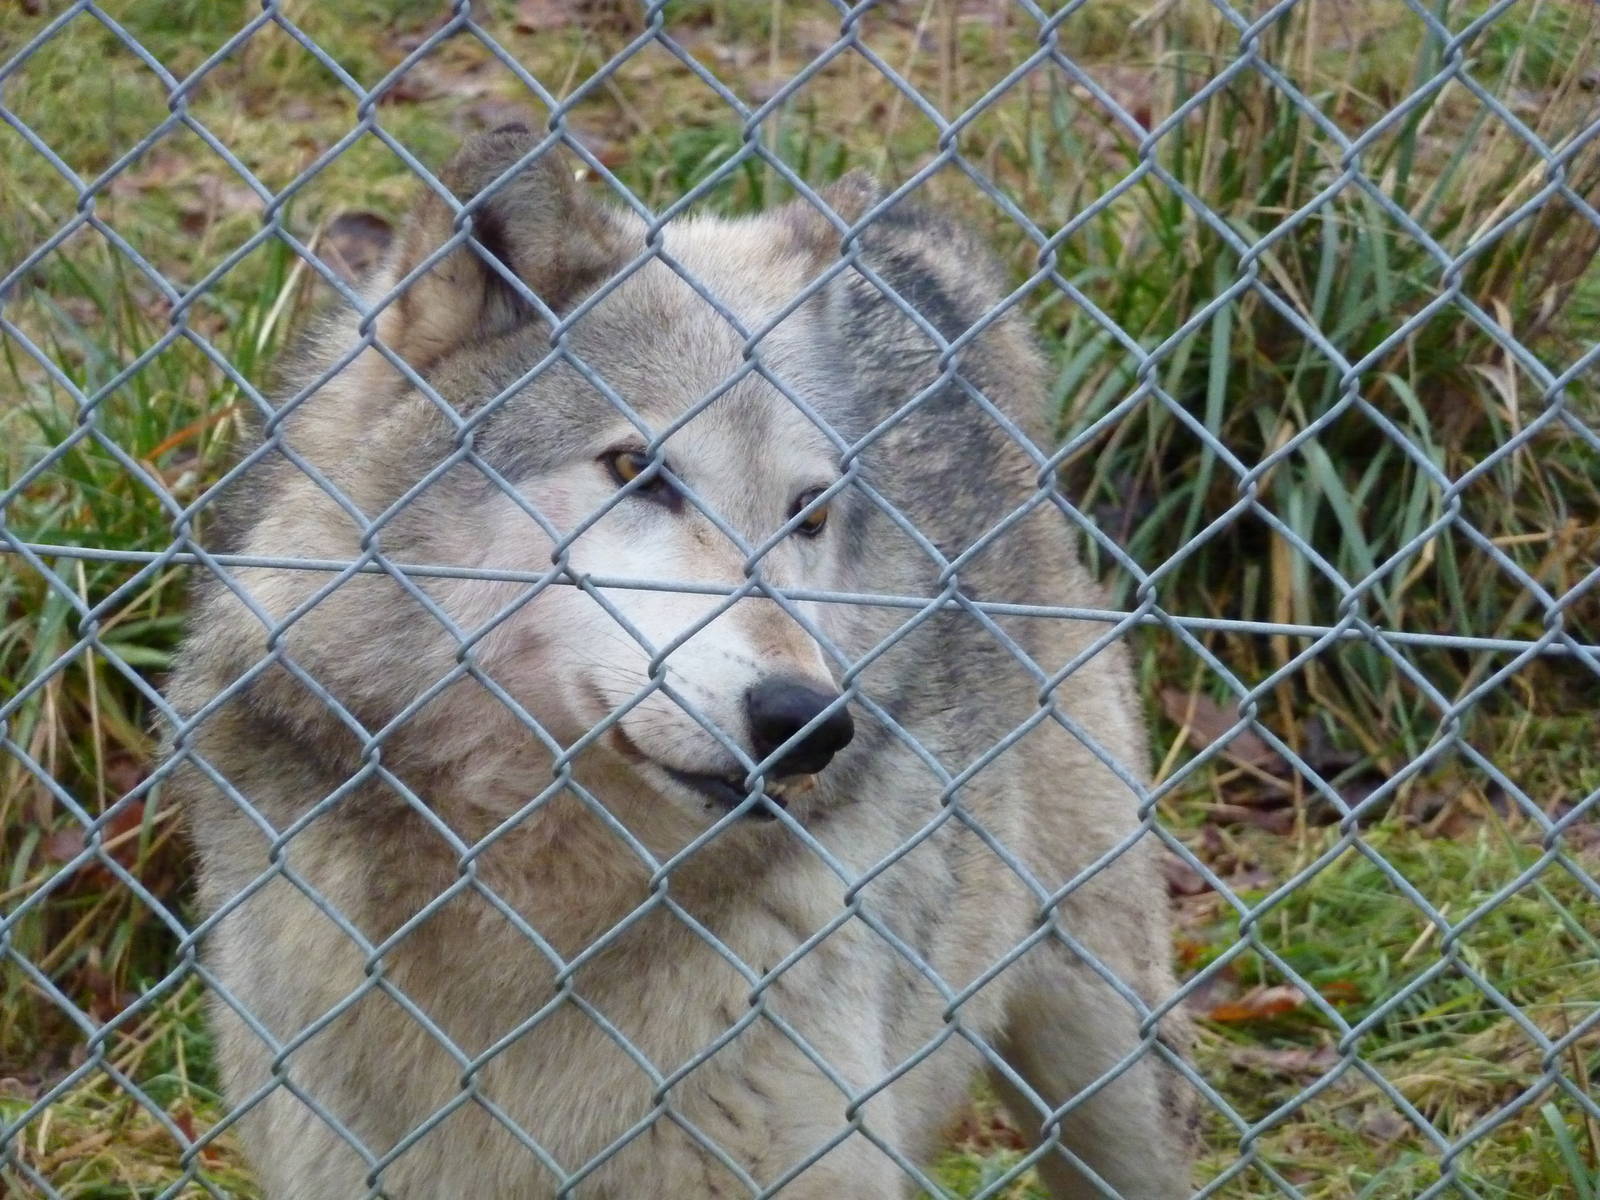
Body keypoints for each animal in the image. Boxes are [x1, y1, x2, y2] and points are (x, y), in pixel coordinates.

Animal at [164, 126, 1198, 1198]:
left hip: (1109, 1074)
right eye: (636, 470)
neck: (532, 904)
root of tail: (919, 245)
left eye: (807, 513)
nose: (808, 721)